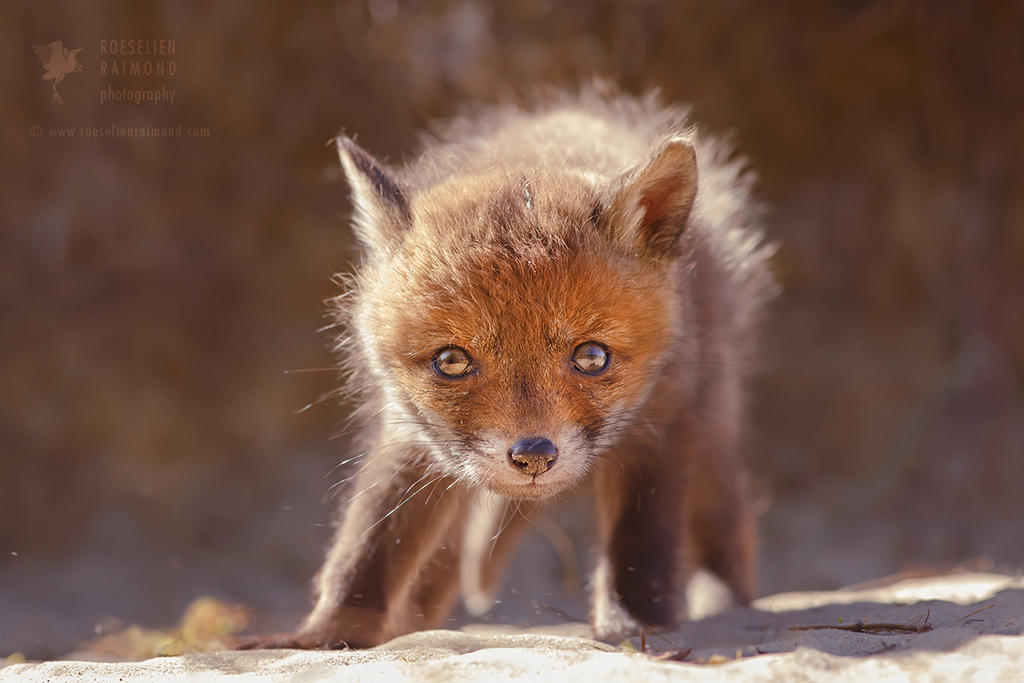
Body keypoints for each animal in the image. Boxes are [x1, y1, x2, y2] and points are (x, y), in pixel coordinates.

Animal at [239, 86, 774, 649]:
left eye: (591, 357)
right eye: (452, 360)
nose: (534, 455)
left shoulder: (664, 423)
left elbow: (642, 541)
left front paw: (636, 623)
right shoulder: (412, 436)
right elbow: (369, 541)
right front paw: (324, 635)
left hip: (712, 420)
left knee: (727, 520)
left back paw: (725, 598)